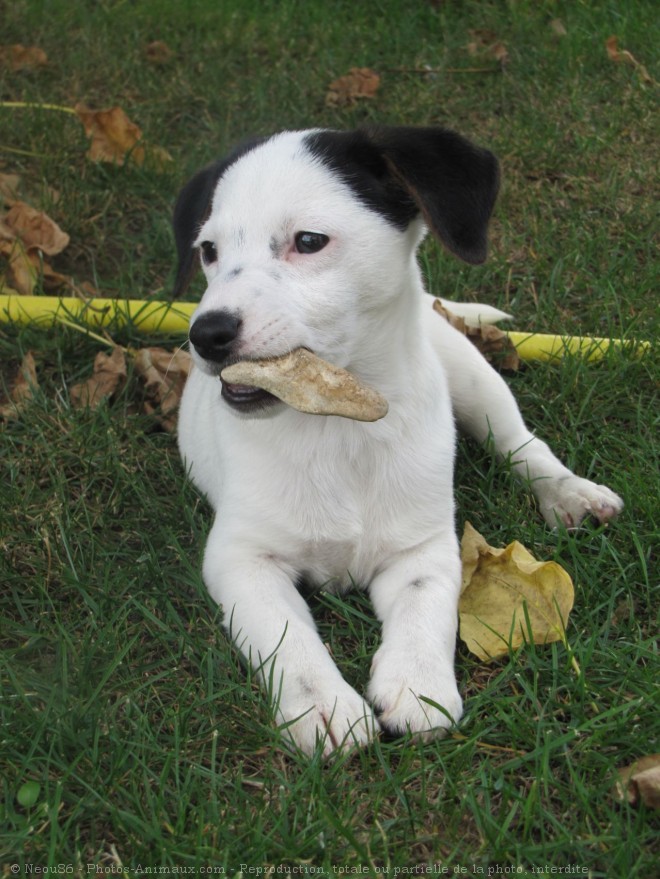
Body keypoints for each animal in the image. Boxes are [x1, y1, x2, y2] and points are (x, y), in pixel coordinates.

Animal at [171, 127, 624, 760]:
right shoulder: (241, 559)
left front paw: (418, 685)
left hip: (471, 371)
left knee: (520, 442)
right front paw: (324, 705)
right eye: (208, 251)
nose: (205, 334)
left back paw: (569, 491)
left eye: (308, 241)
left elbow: (426, 610)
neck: (337, 419)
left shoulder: (425, 547)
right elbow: (285, 635)